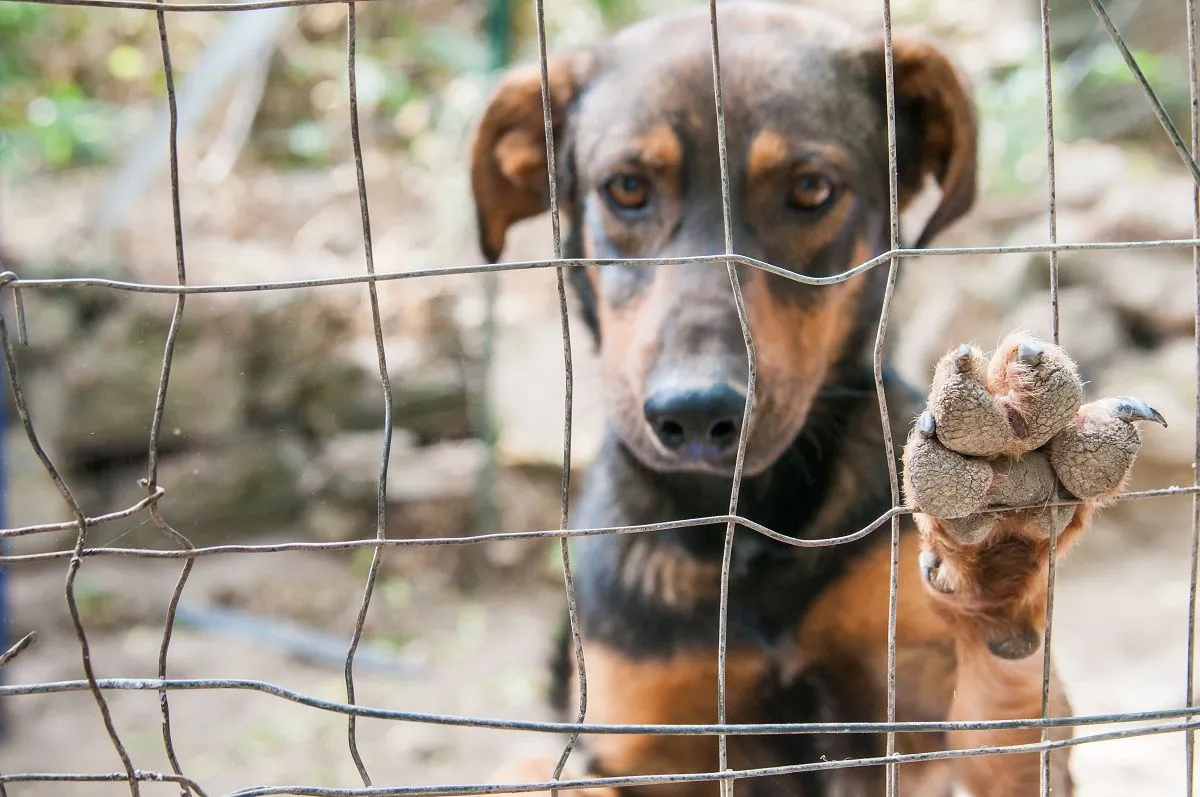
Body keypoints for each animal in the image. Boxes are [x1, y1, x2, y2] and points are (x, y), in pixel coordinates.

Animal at [465, 3, 1161, 792]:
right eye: (627, 188)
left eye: (810, 189)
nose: (698, 415)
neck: (750, 526)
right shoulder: (647, 742)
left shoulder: (923, 709)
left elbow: (1003, 710)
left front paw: (1004, 527)